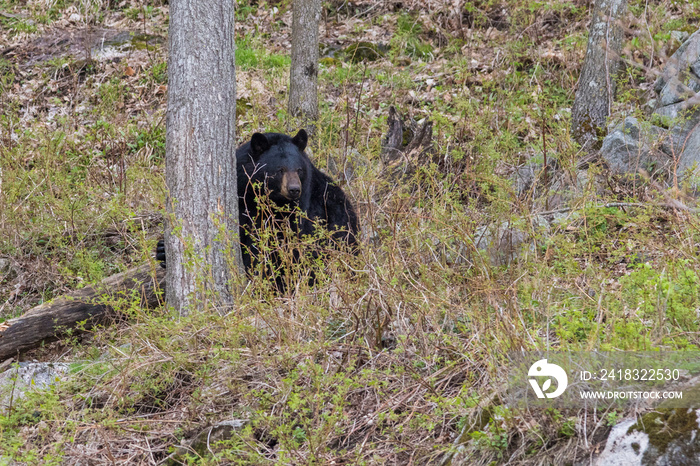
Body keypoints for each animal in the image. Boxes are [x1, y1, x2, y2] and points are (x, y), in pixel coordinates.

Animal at [156, 129, 358, 290]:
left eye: (299, 169)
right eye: (279, 170)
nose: (294, 189)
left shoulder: (300, 212)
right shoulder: (241, 199)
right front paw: (162, 250)